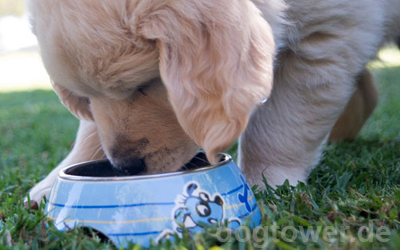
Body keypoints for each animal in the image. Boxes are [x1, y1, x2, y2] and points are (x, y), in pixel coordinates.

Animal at [28, 0, 400, 203]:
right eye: (86, 96)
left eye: (146, 84)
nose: (125, 168)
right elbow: (92, 130)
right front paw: (52, 183)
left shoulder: (326, 37)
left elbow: (279, 126)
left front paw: (264, 182)